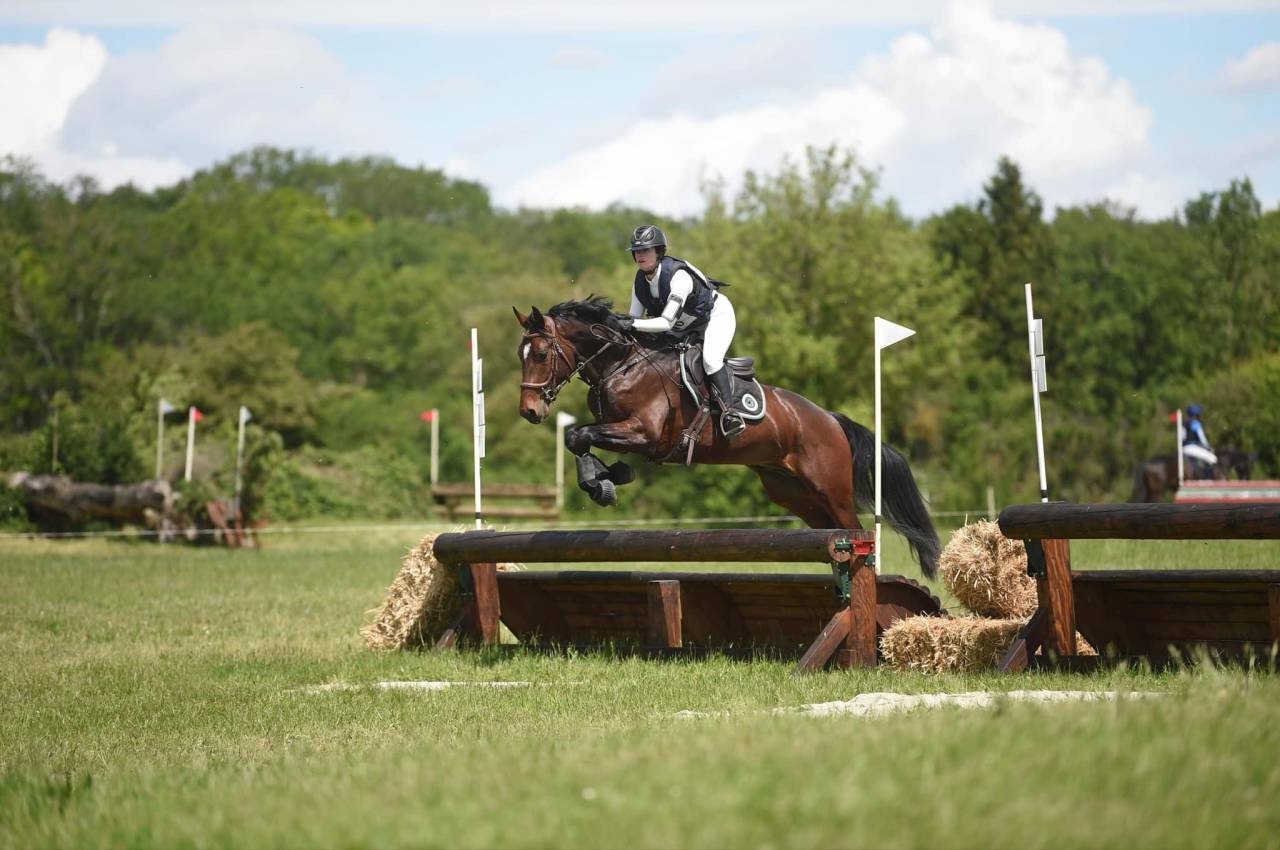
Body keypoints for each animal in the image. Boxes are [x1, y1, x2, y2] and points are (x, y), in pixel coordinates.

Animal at [513, 297, 940, 578]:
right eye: (522, 355)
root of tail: (831, 420)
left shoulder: (645, 433)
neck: (621, 365)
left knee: (855, 530)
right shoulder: (621, 429)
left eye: (540, 354)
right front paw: (606, 478)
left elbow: (580, 435)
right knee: (831, 533)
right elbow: (577, 437)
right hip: (792, 491)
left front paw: (604, 481)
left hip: (830, 486)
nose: (529, 412)